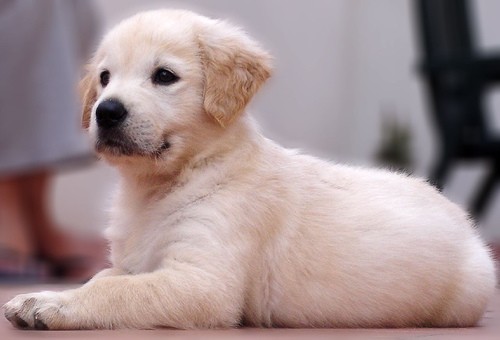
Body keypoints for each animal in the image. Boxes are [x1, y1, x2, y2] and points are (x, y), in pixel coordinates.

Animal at [3, 9, 496, 330]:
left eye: (164, 76)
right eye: (105, 77)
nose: (105, 112)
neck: (169, 183)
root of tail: (465, 224)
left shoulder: (203, 284)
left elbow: (116, 292)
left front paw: (52, 305)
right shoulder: (135, 262)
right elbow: (102, 278)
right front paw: (45, 294)